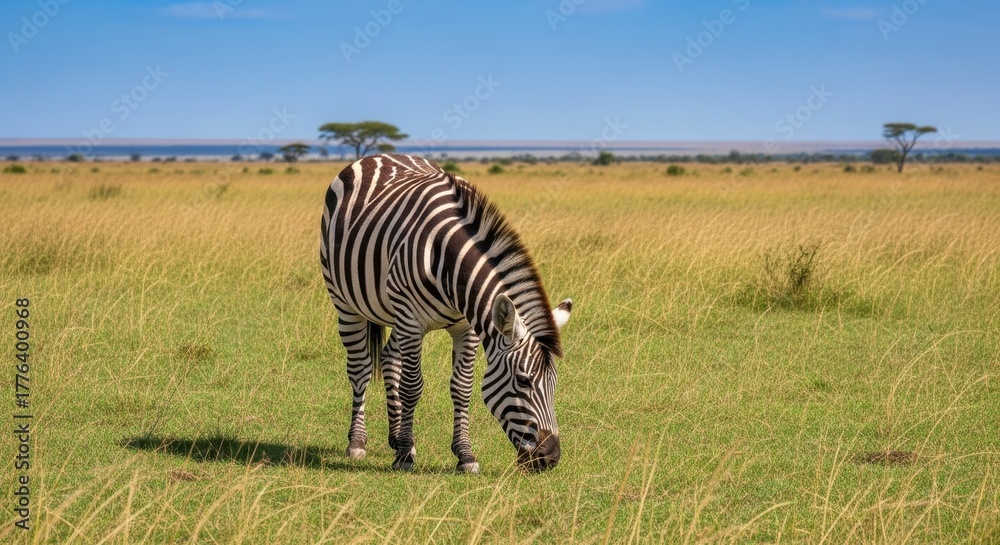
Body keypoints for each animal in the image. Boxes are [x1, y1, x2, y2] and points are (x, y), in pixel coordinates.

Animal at [319, 153, 572, 473]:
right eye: (523, 381)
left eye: (554, 383)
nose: (550, 458)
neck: (449, 261)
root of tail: (378, 155)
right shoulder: (412, 320)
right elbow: (412, 386)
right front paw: (405, 456)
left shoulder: (467, 327)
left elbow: (462, 387)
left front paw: (464, 455)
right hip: (346, 303)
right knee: (360, 368)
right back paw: (358, 441)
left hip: (395, 315)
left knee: (389, 359)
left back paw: (396, 437)